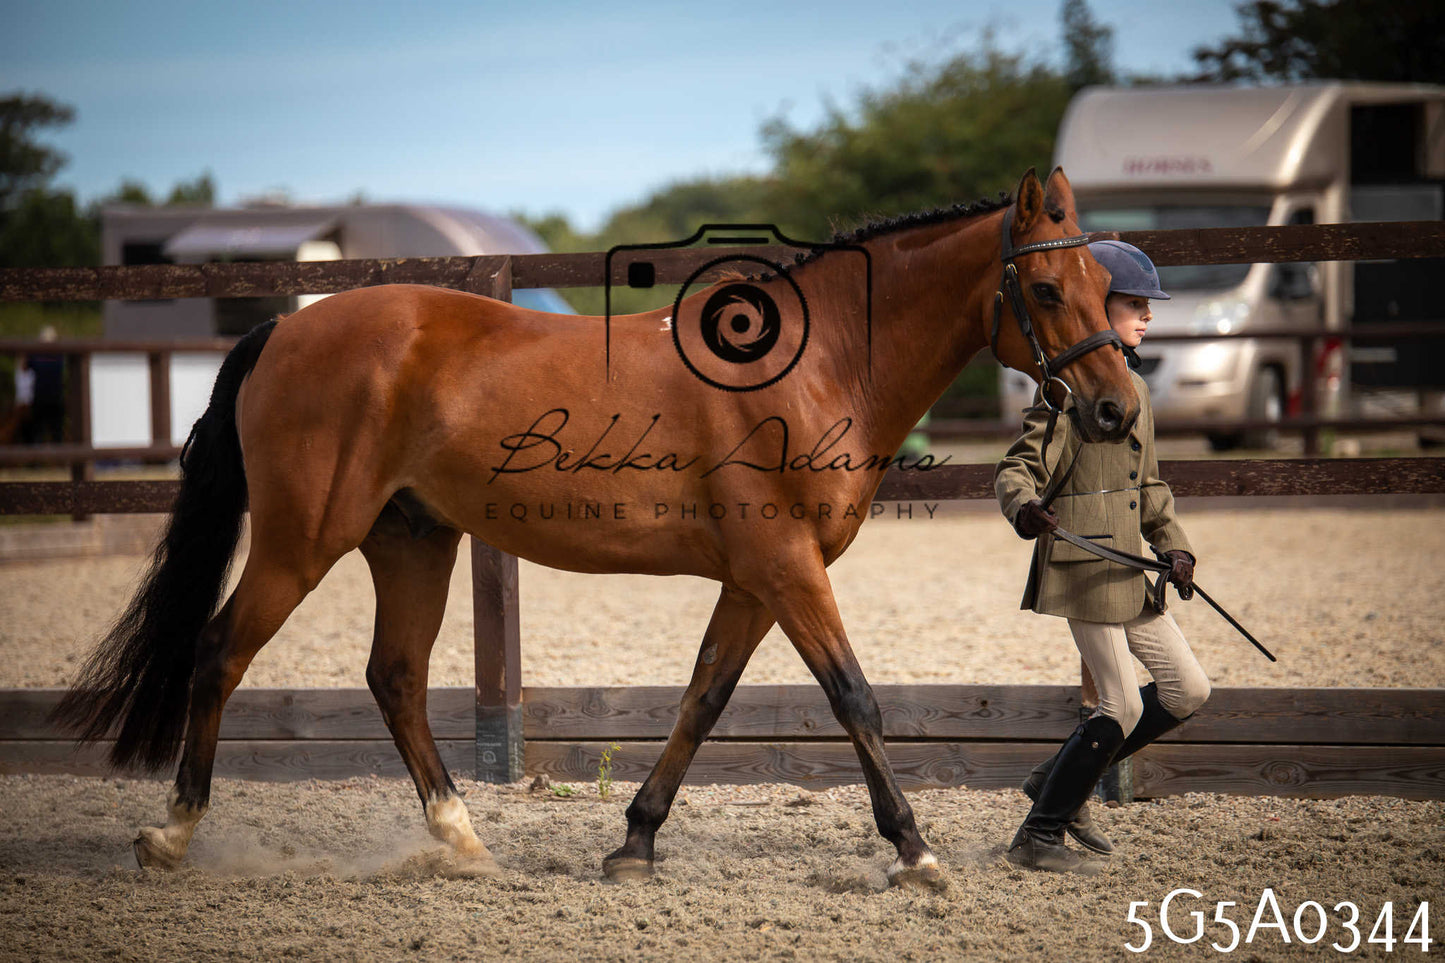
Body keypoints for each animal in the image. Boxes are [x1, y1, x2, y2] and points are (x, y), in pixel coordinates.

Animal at [52, 167, 1137, 889]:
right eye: (1047, 289)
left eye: (1099, 288)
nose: (1116, 408)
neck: (816, 360)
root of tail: (287, 325)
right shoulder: (786, 568)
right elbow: (852, 697)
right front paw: (914, 851)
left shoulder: (754, 577)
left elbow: (702, 698)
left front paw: (634, 840)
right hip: (300, 540)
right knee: (219, 653)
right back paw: (172, 834)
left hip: (411, 540)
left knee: (393, 678)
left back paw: (461, 838)